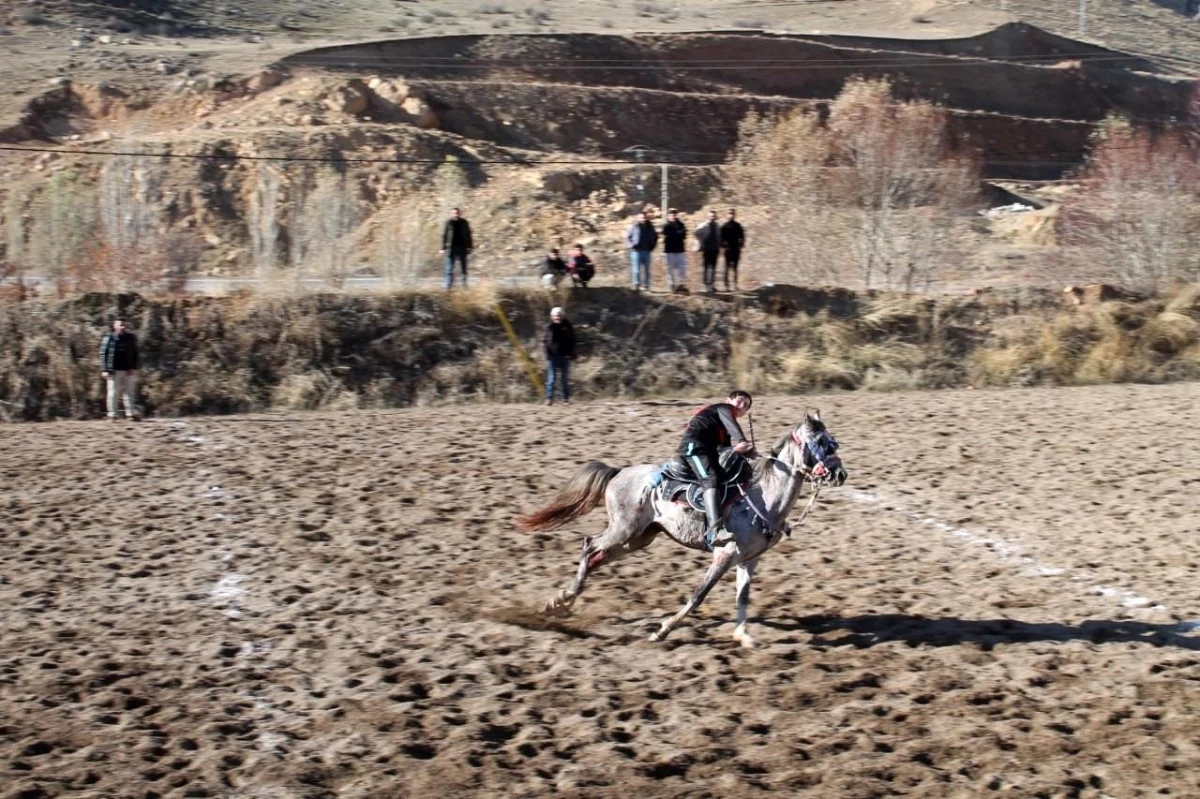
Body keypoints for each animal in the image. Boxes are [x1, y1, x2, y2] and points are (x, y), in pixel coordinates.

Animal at [520, 407, 849, 643]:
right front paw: (662, 630)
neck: (763, 496)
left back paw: (559, 602)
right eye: (821, 443)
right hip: (623, 530)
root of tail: (619, 471)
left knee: (597, 557)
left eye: (833, 442)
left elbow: (743, 597)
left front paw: (743, 635)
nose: (840, 474)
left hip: (638, 538)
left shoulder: (749, 560)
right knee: (589, 546)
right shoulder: (725, 554)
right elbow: (698, 596)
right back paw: (565, 597)